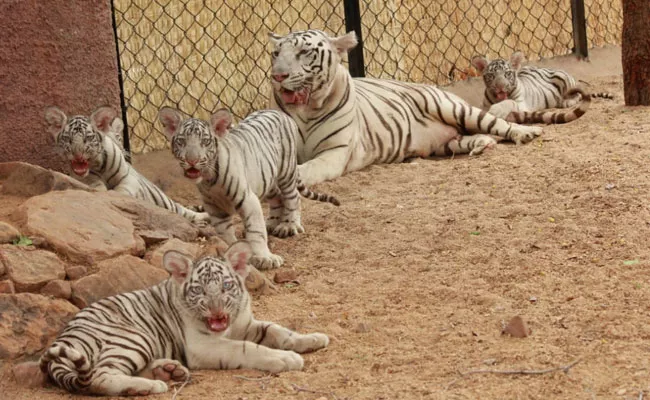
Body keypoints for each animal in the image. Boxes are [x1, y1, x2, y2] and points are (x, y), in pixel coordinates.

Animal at [39, 241, 330, 396]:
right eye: (199, 290)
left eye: (226, 286)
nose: (216, 312)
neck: (227, 327)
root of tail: (64, 337)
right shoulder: (204, 346)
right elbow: (248, 348)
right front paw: (286, 359)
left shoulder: (244, 324)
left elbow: (278, 331)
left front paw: (313, 339)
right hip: (134, 336)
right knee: (100, 376)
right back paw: (151, 385)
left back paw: (169, 370)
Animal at [44, 105, 209, 225]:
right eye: (67, 138)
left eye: (88, 138)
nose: (78, 155)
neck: (98, 166)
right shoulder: (85, 178)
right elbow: (95, 185)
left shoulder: (129, 178)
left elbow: (123, 190)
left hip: (167, 202)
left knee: (184, 211)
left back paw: (203, 218)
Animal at [158, 107, 340, 268]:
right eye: (181, 141)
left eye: (205, 141)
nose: (192, 161)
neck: (209, 178)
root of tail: (278, 112)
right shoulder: (214, 208)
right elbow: (225, 233)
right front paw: (231, 251)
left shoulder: (247, 199)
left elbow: (256, 231)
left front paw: (265, 258)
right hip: (266, 179)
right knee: (277, 198)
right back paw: (272, 223)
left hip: (286, 171)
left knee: (293, 197)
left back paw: (289, 226)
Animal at [264, 29, 584, 186]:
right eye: (276, 53)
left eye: (304, 52)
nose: (278, 76)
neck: (306, 111)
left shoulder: (336, 152)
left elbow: (310, 168)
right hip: (445, 142)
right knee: (478, 137)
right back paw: (483, 145)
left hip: (456, 109)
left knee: (499, 124)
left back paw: (526, 133)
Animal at [468, 52, 604, 120]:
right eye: (491, 75)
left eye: (507, 74)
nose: (501, 86)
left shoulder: (522, 104)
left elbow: (510, 102)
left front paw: (497, 110)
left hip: (564, 79)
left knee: (577, 94)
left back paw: (566, 102)